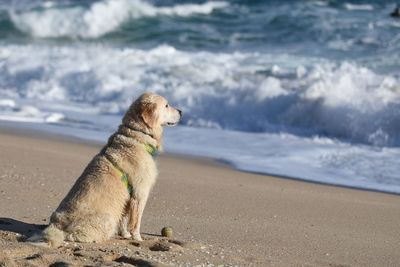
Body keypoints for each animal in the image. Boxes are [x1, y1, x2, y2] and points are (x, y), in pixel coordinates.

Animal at [28, 92, 182, 247]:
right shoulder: (140, 193)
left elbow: (124, 220)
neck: (137, 135)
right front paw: (138, 238)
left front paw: (125, 235)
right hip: (107, 220)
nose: (181, 111)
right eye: (166, 105)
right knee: (74, 237)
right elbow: (135, 222)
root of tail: (57, 226)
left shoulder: (128, 197)